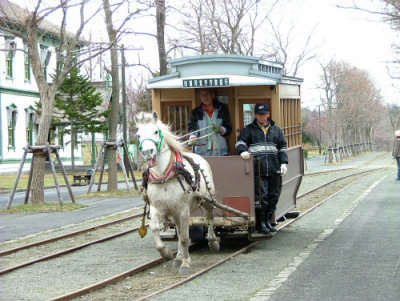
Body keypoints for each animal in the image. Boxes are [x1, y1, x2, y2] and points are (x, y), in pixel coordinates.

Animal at [136, 110, 220, 274]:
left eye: (156, 132)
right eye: (138, 135)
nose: (148, 152)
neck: (164, 176)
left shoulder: (183, 210)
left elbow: (185, 237)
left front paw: (186, 264)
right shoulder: (157, 208)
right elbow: (155, 227)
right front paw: (167, 253)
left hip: (207, 200)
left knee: (209, 217)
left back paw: (213, 242)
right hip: (174, 212)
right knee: (180, 230)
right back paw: (178, 257)